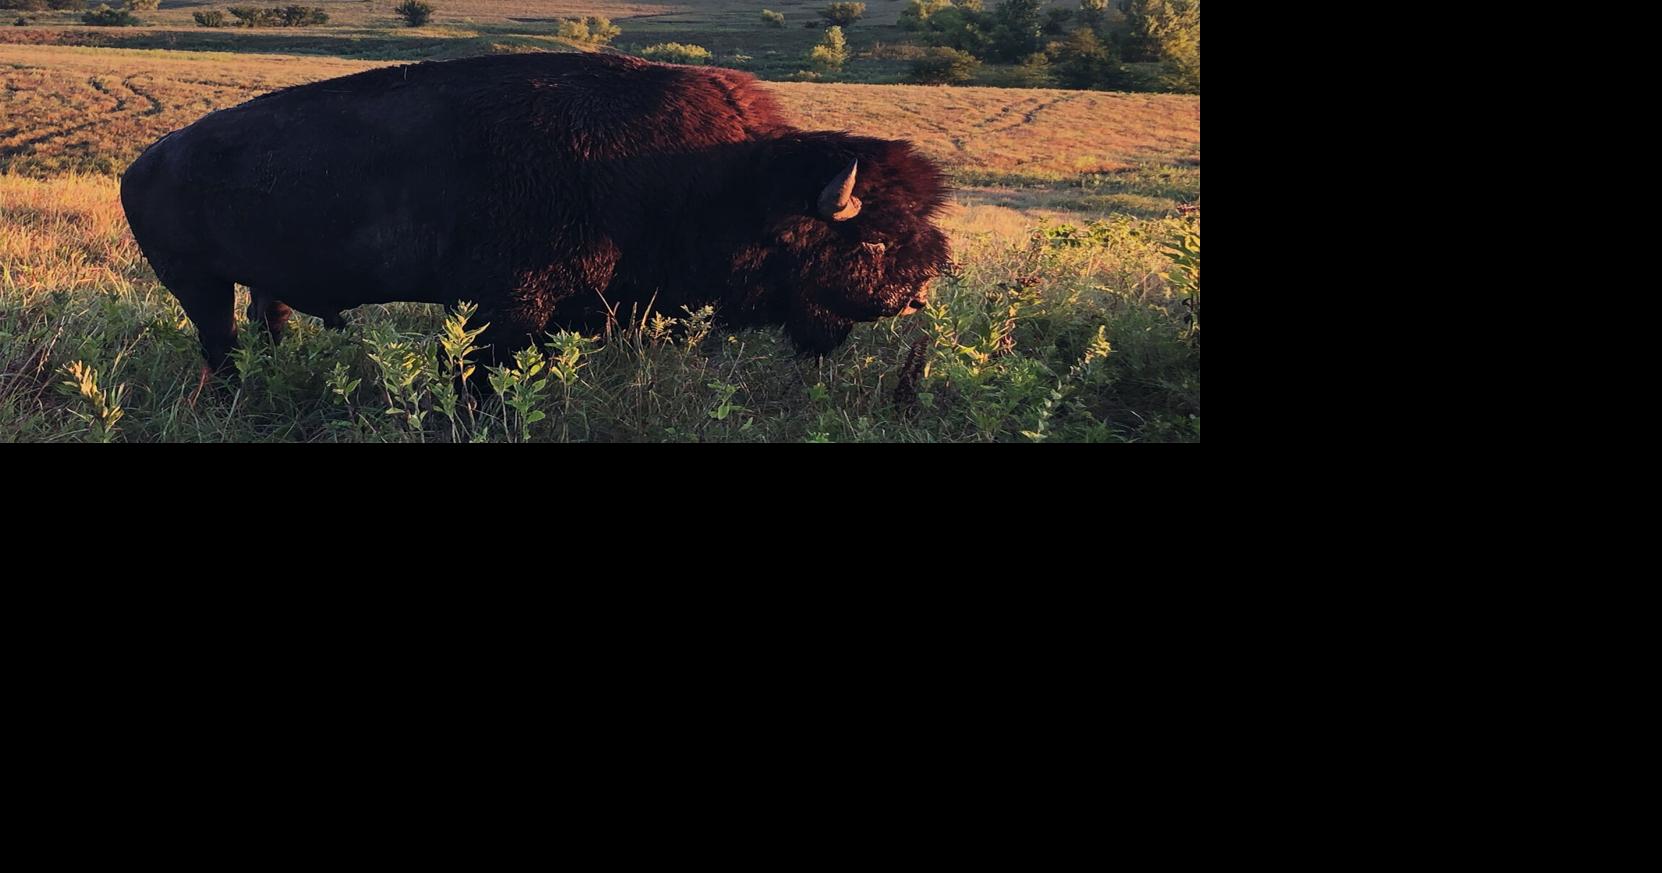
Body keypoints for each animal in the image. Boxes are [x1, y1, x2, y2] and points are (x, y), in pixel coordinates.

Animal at [120, 52, 952, 373]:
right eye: (873, 242)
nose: (918, 293)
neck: (709, 177)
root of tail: (145, 162)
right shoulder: (505, 306)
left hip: (262, 285)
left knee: (269, 321)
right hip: (196, 284)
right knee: (219, 345)